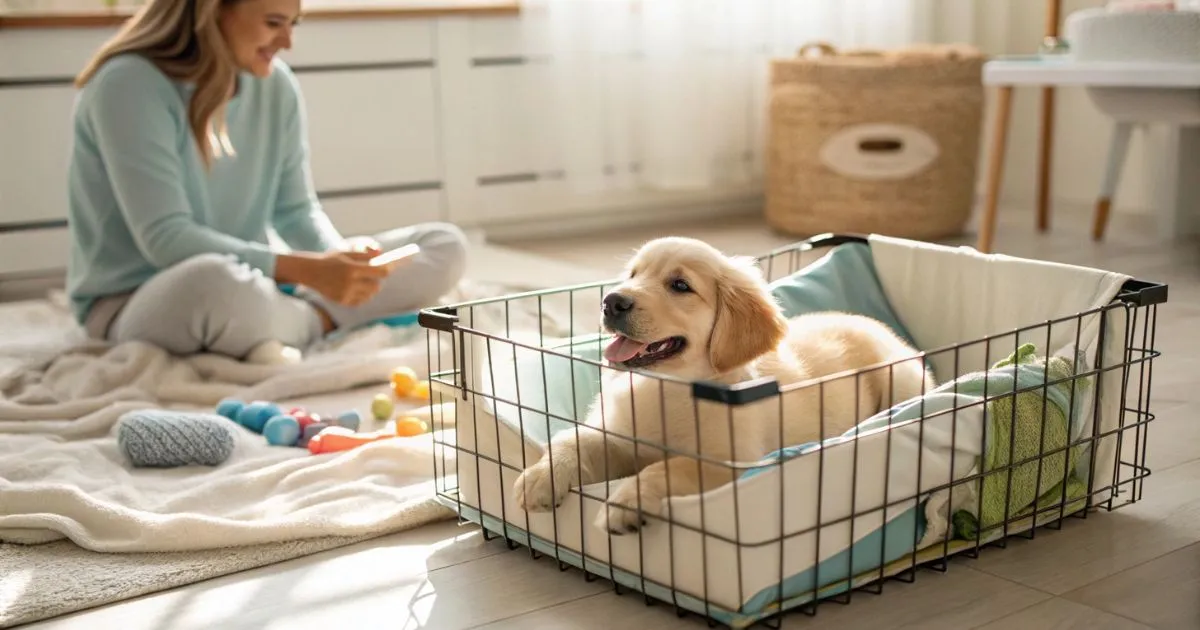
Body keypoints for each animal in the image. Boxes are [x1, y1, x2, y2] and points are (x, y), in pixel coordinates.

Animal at [511, 238, 931, 532]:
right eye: (633, 275)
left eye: (680, 285)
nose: (611, 302)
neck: (667, 384)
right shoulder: (620, 438)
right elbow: (572, 439)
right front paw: (541, 476)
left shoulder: (732, 463)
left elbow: (668, 466)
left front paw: (626, 501)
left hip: (901, 378)